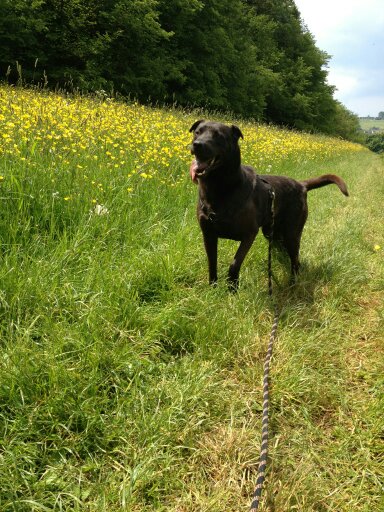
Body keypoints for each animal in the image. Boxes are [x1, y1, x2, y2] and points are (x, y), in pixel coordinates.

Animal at [189, 120, 348, 288]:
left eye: (218, 136)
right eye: (197, 132)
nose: (197, 144)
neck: (220, 187)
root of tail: (301, 184)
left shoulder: (249, 234)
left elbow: (234, 264)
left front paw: (232, 288)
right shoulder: (208, 234)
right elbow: (211, 263)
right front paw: (213, 288)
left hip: (292, 233)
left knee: (295, 260)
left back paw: (292, 283)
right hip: (273, 231)